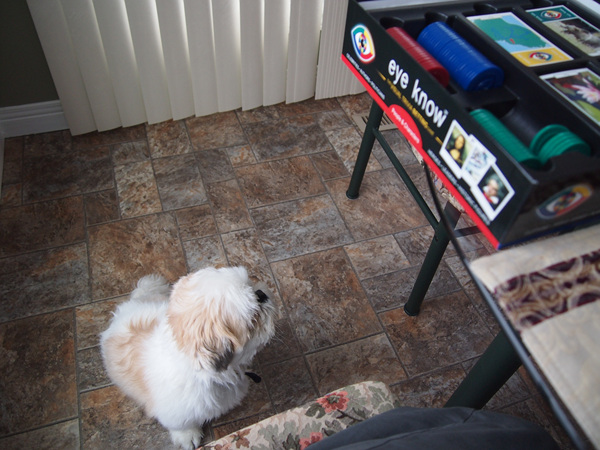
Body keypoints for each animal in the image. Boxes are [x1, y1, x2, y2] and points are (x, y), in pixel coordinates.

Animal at [100, 266, 277, 449]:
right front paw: (188, 436)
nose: (261, 293)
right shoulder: (175, 412)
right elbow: (181, 425)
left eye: (250, 284)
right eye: (253, 317)